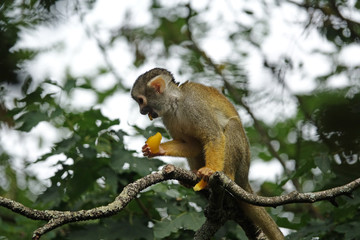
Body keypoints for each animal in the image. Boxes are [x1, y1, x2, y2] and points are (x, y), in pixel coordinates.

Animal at [131, 68, 286, 240]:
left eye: (141, 101)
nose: (141, 111)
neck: (176, 103)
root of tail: (245, 178)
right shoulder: (168, 118)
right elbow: (193, 145)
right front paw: (157, 149)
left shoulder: (195, 105)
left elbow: (214, 136)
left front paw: (209, 171)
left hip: (243, 162)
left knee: (232, 125)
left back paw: (226, 175)